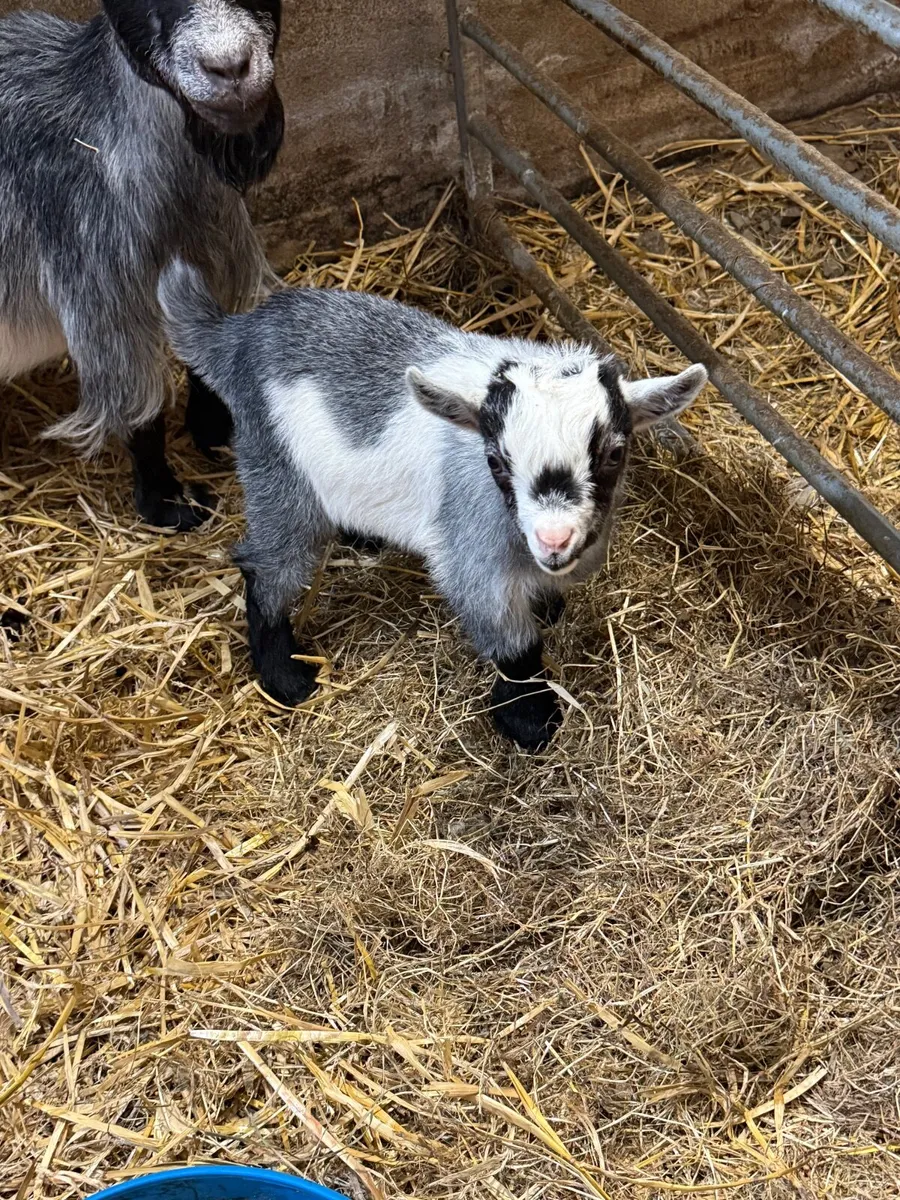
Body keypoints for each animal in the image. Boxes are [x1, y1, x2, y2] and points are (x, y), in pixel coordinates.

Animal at [0, 0, 283, 530]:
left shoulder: (212, 253)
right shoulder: (96, 280)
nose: (229, 67)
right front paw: (168, 502)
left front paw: (215, 430)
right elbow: (136, 405)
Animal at [158, 261, 708, 749]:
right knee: (268, 564)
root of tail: (240, 334)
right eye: (495, 459)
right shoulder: (473, 563)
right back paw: (285, 678)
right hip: (276, 469)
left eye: (614, 453)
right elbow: (516, 646)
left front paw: (549, 609)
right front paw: (531, 721)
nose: (554, 539)